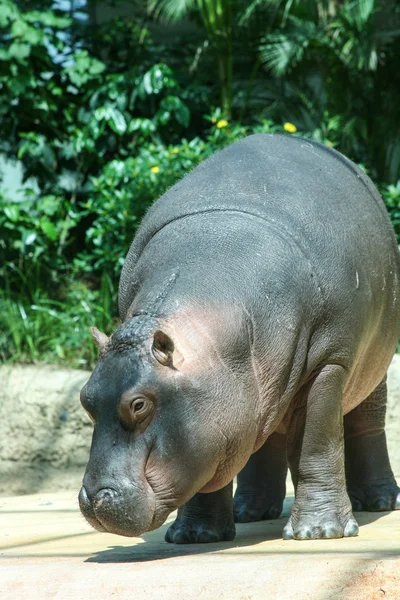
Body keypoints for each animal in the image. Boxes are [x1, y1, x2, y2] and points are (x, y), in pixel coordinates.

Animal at [78, 135, 400, 544]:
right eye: (86, 399)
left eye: (138, 405)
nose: (93, 499)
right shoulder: (212, 415)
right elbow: (211, 466)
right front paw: (195, 535)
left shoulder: (330, 362)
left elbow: (317, 446)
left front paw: (319, 532)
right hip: (268, 388)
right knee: (263, 437)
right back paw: (249, 512)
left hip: (372, 366)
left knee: (366, 425)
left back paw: (380, 501)